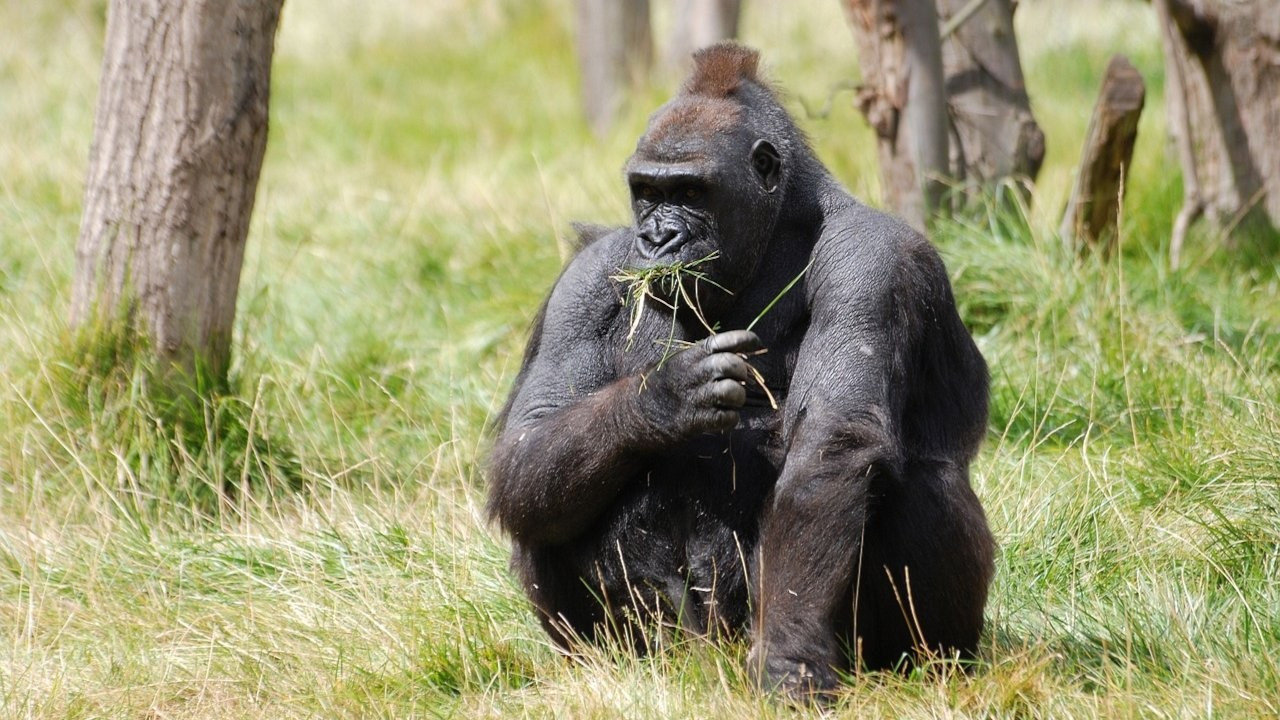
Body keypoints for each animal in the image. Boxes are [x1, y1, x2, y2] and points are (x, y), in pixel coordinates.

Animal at [483, 41, 993, 691]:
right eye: (646, 191)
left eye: (691, 193)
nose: (657, 239)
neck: (780, 229)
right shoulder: (586, 277)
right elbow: (529, 441)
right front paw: (663, 398)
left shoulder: (872, 259)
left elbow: (831, 447)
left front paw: (788, 661)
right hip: (673, 643)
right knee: (544, 506)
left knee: (921, 480)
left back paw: (925, 663)